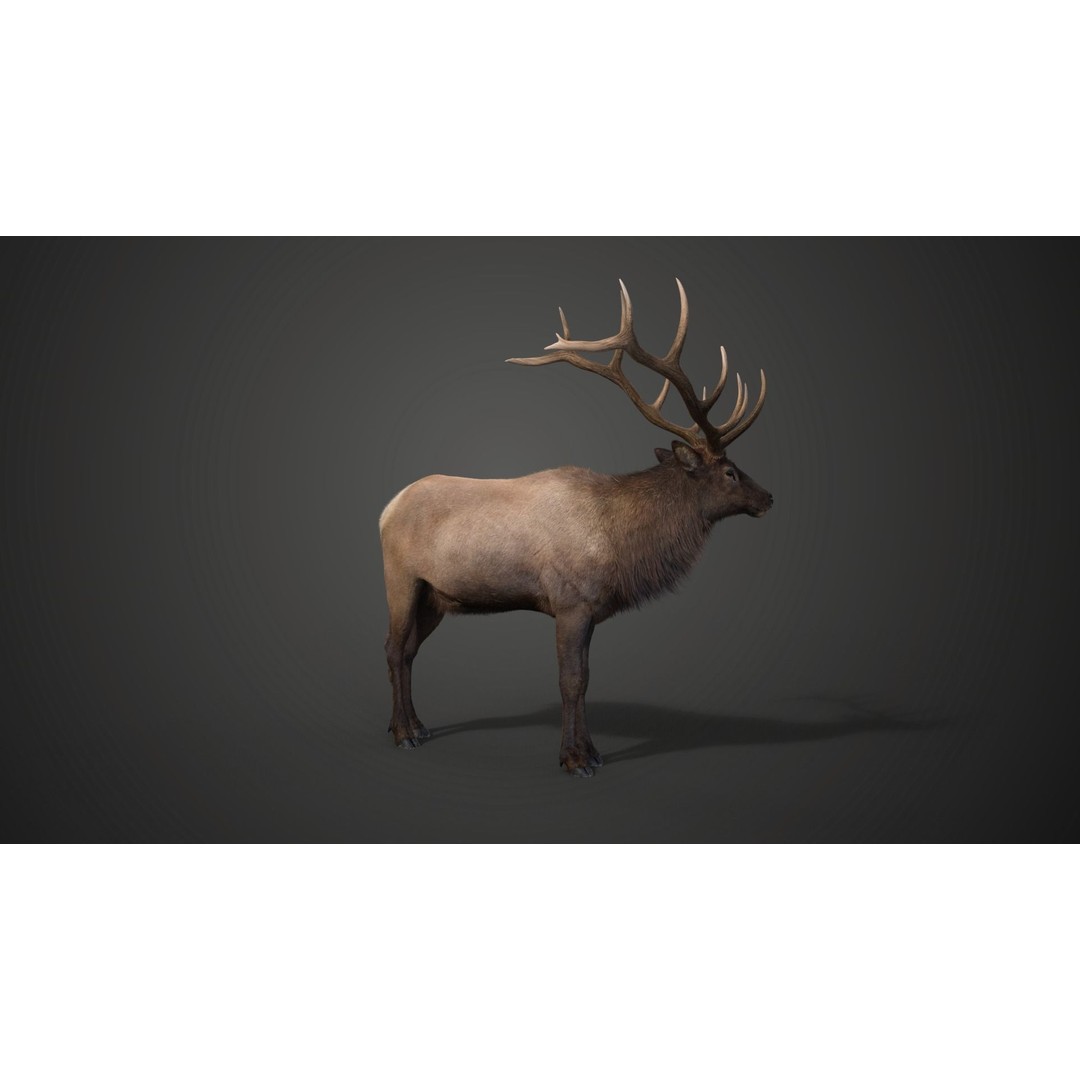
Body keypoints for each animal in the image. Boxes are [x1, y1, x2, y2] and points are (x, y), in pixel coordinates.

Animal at [378, 279, 772, 776]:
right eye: (730, 473)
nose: (769, 498)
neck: (619, 542)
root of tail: (386, 508)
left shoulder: (590, 610)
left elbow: (585, 680)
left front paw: (592, 752)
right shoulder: (570, 602)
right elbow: (572, 681)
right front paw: (575, 759)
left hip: (437, 596)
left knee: (410, 649)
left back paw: (415, 725)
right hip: (401, 578)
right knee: (394, 648)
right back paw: (404, 734)